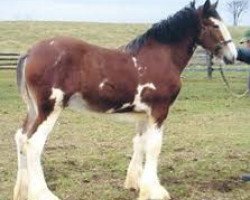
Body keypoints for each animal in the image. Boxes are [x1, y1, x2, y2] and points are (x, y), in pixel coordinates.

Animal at [13, 0, 236, 199]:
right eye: (215, 25)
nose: (232, 56)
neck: (160, 57)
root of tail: (30, 52)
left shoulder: (143, 114)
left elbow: (140, 143)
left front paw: (136, 184)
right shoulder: (159, 111)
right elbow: (154, 146)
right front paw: (155, 191)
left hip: (33, 109)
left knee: (21, 138)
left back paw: (22, 191)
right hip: (49, 109)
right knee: (33, 144)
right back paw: (43, 194)